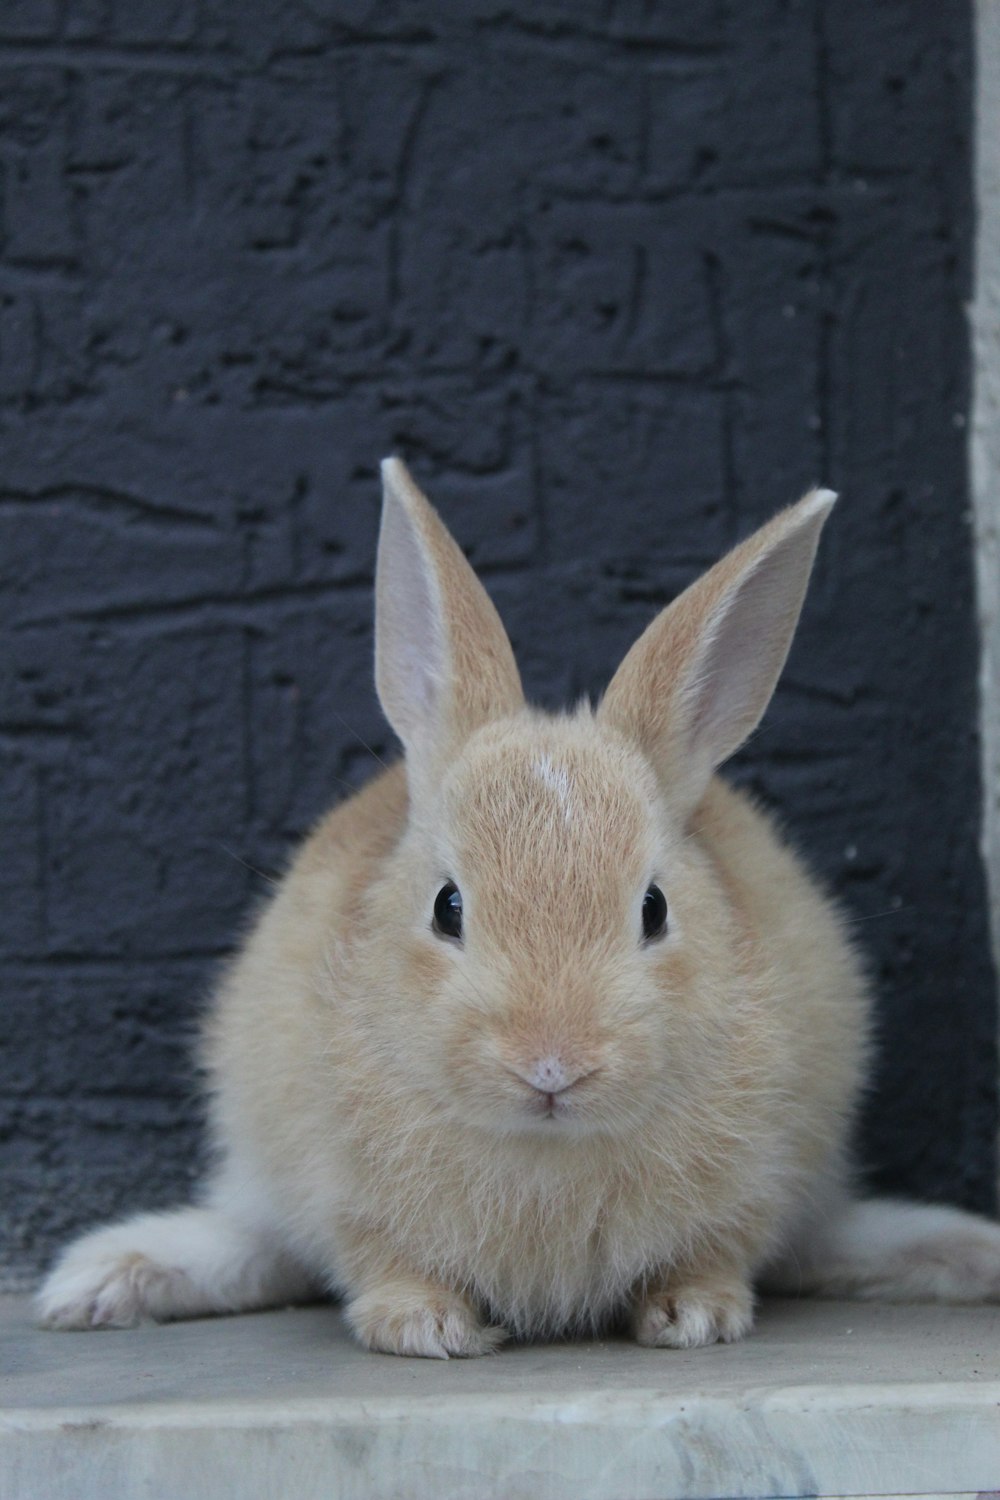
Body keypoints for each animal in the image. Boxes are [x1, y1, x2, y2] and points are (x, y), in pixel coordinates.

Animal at [39, 459, 1000, 1362]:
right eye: (447, 906)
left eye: (654, 908)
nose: (552, 1066)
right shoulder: (340, 1191)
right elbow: (383, 1262)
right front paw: (424, 1328)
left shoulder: (760, 1178)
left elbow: (713, 1252)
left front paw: (695, 1316)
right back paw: (93, 1289)